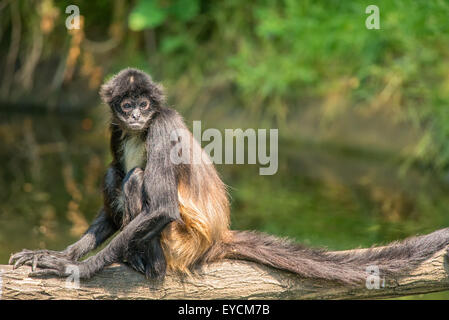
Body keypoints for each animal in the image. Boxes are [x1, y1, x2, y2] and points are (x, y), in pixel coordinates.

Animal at [8, 68, 448, 284]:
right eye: (126, 104)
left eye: (144, 104)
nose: (135, 116)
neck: (139, 129)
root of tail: (217, 236)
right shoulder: (115, 130)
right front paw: (62, 254)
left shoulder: (162, 124)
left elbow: (162, 207)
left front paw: (76, 269)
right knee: (116, 172)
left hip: (181, 243)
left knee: (132, 177)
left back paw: (149, 266)